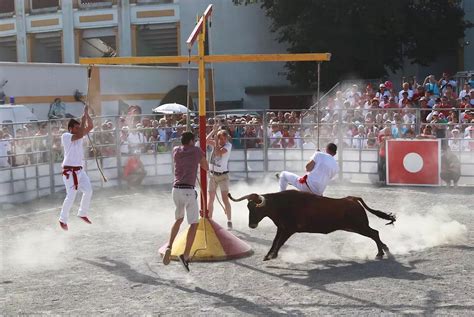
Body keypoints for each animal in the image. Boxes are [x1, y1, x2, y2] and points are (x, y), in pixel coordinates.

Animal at [228, 190, 394, 260]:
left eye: (256, 208)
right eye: (248, 207)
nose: (252, 225)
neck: (280, 204)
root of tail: (352, 198)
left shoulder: (289, 230)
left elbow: (280, 242)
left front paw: (272, 256)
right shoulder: (281, 228)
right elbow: (275, 241)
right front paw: (269, 255)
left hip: (359, 226)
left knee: (374, 233)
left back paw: (380, 253)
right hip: (354, 227)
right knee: (374, 233)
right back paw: (385, 249)